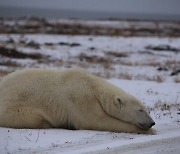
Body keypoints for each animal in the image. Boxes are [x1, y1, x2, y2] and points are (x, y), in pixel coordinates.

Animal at [0, 68, 155, 134]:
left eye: (146, 109)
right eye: (140, 110)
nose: (152, 122)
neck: (93, 87)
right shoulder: (80, 99)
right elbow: (97, 121)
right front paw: (151, 131)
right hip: (16, 108)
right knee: (35, 120)